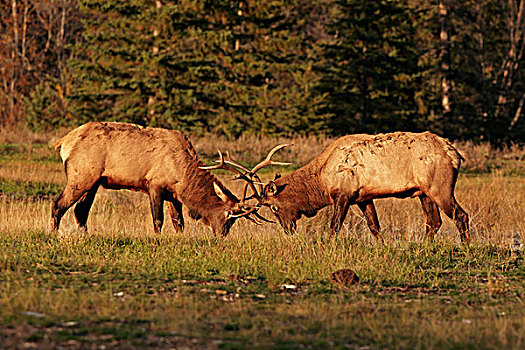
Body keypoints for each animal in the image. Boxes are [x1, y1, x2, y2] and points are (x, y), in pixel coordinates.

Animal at [50, 121, 258, 237]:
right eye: (228, 215)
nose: (221, 235)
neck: (182, 176)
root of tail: (63, 142)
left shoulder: (174, 195)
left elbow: (179, 222)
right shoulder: (154, 185)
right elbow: (158, 219)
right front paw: (158, 239)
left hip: (93, 183)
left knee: (80, 211)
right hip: (81, 176)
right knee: (58, 204)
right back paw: (54, 234)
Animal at [223, 131, 468, 243]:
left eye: (274, 207)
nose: (288, 229)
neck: (321, 181)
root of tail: (456, 154)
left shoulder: (343, 194)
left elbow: (334, 226)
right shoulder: (363, 197)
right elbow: (374, 226)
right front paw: (382, 246)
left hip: (440, 187)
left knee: (460, 215)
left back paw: (465, 247)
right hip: (423, 192)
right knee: (434, 222)